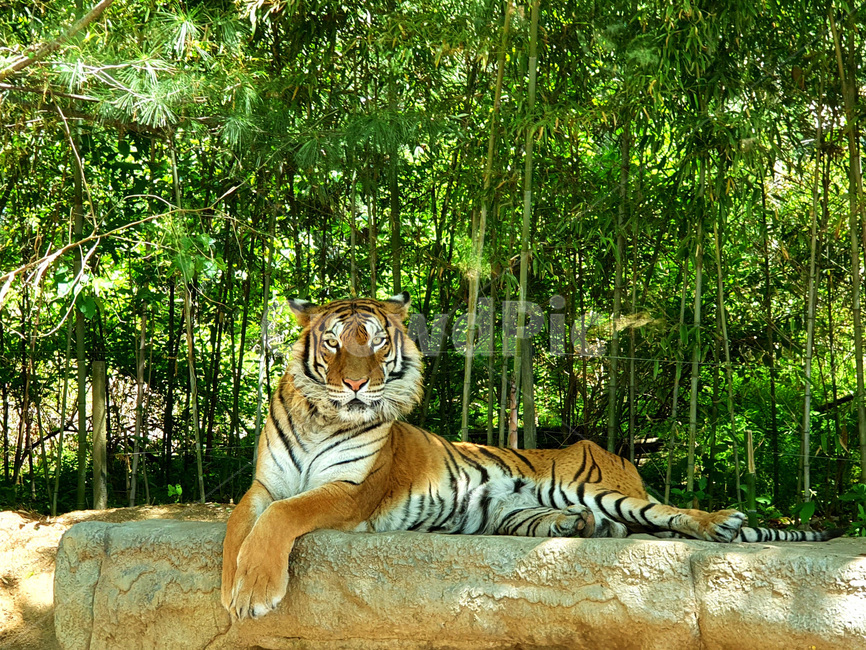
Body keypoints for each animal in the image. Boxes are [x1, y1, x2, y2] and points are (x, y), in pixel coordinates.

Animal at [221, 293, 841, 620]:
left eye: (375, 342)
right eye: (332, 343)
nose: (354, 384)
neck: (321, 415)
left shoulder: (350, 491)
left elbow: (284, 516)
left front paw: (251, 591)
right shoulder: (263, 485)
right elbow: (237, 527)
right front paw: (232, 586)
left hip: (590, 485)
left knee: (669, 516)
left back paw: (719, 523)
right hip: (520, 509)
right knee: (609, 526)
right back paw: (581, 527)